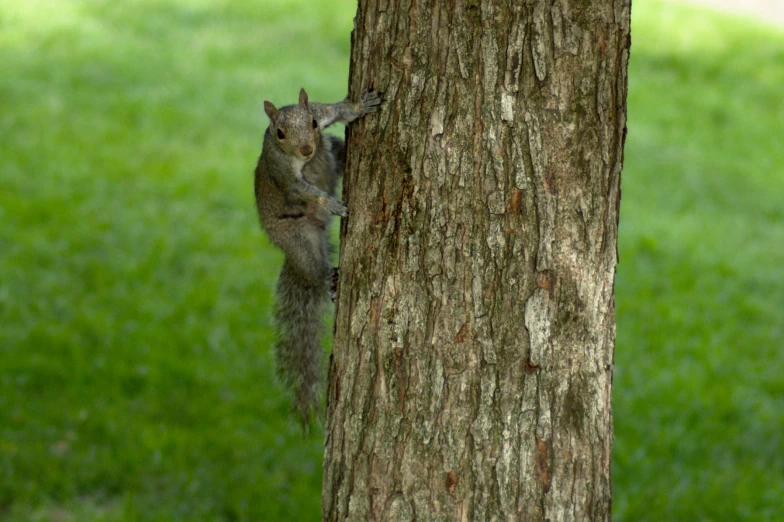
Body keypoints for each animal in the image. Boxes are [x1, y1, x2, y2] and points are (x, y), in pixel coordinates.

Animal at [254, 87, 382, 424]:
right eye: (280, 133)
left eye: (312, 122)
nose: (307, 149)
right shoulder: (283, 174)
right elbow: (303, 190)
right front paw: (332, 203)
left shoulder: (321, 115)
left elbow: (337, 111)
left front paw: (360, 106)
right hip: (300, 240)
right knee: (313, 272)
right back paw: (330, 280)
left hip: (331, 147)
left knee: (335, 146)